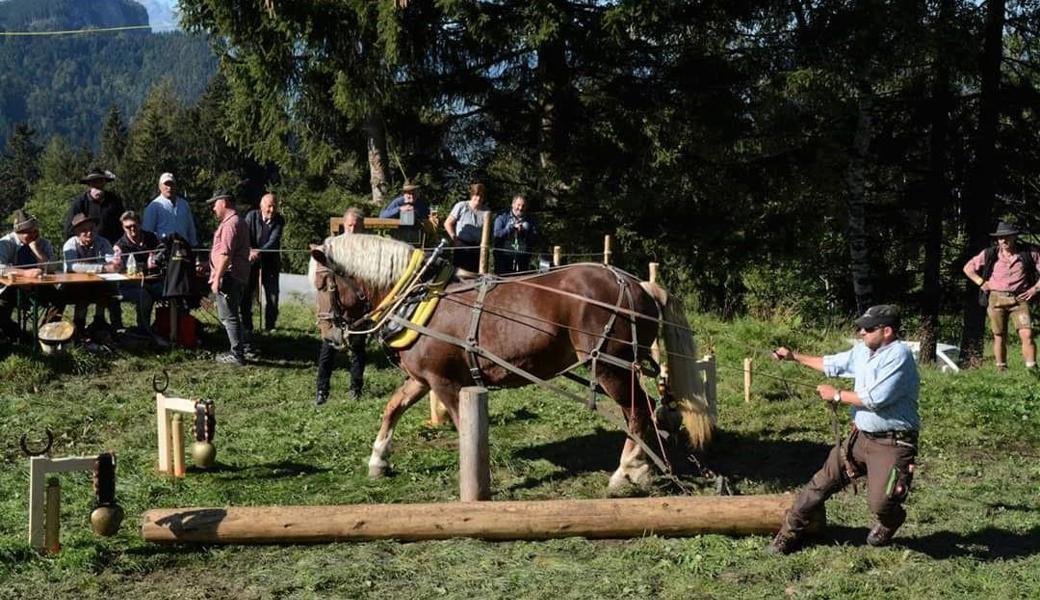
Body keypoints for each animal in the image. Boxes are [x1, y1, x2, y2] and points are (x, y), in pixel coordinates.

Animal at [307, 232, 715, 490]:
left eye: (324, 284)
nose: (328, 335)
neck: (418, 296)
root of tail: (640, 284)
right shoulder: (423, 378)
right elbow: (392, 408)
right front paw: (378, 460)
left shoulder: (445, 383)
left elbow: (463, 426)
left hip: (611, 367)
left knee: (638, 410)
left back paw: (627, 470)